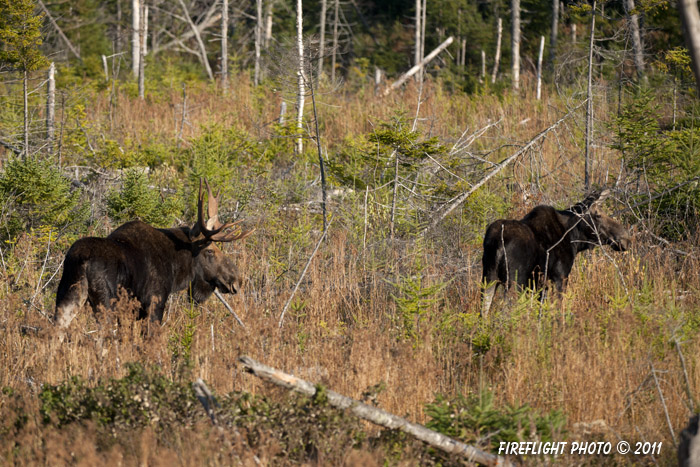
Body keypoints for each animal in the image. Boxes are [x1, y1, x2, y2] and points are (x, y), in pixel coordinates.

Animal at [54, 179, 254, 330]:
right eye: (210, 251)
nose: (235, 280)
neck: (176, 268)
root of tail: (83, 261)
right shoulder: (154, 301)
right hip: (106, 301)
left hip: (67, 295)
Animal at [482, 190, 628, 318]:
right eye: (598, 215)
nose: (624, 237)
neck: (574, 238)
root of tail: (497, 241)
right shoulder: (560, 276)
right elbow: (559, 308)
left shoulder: (539, 284)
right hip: (514, 280)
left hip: (489, 276)